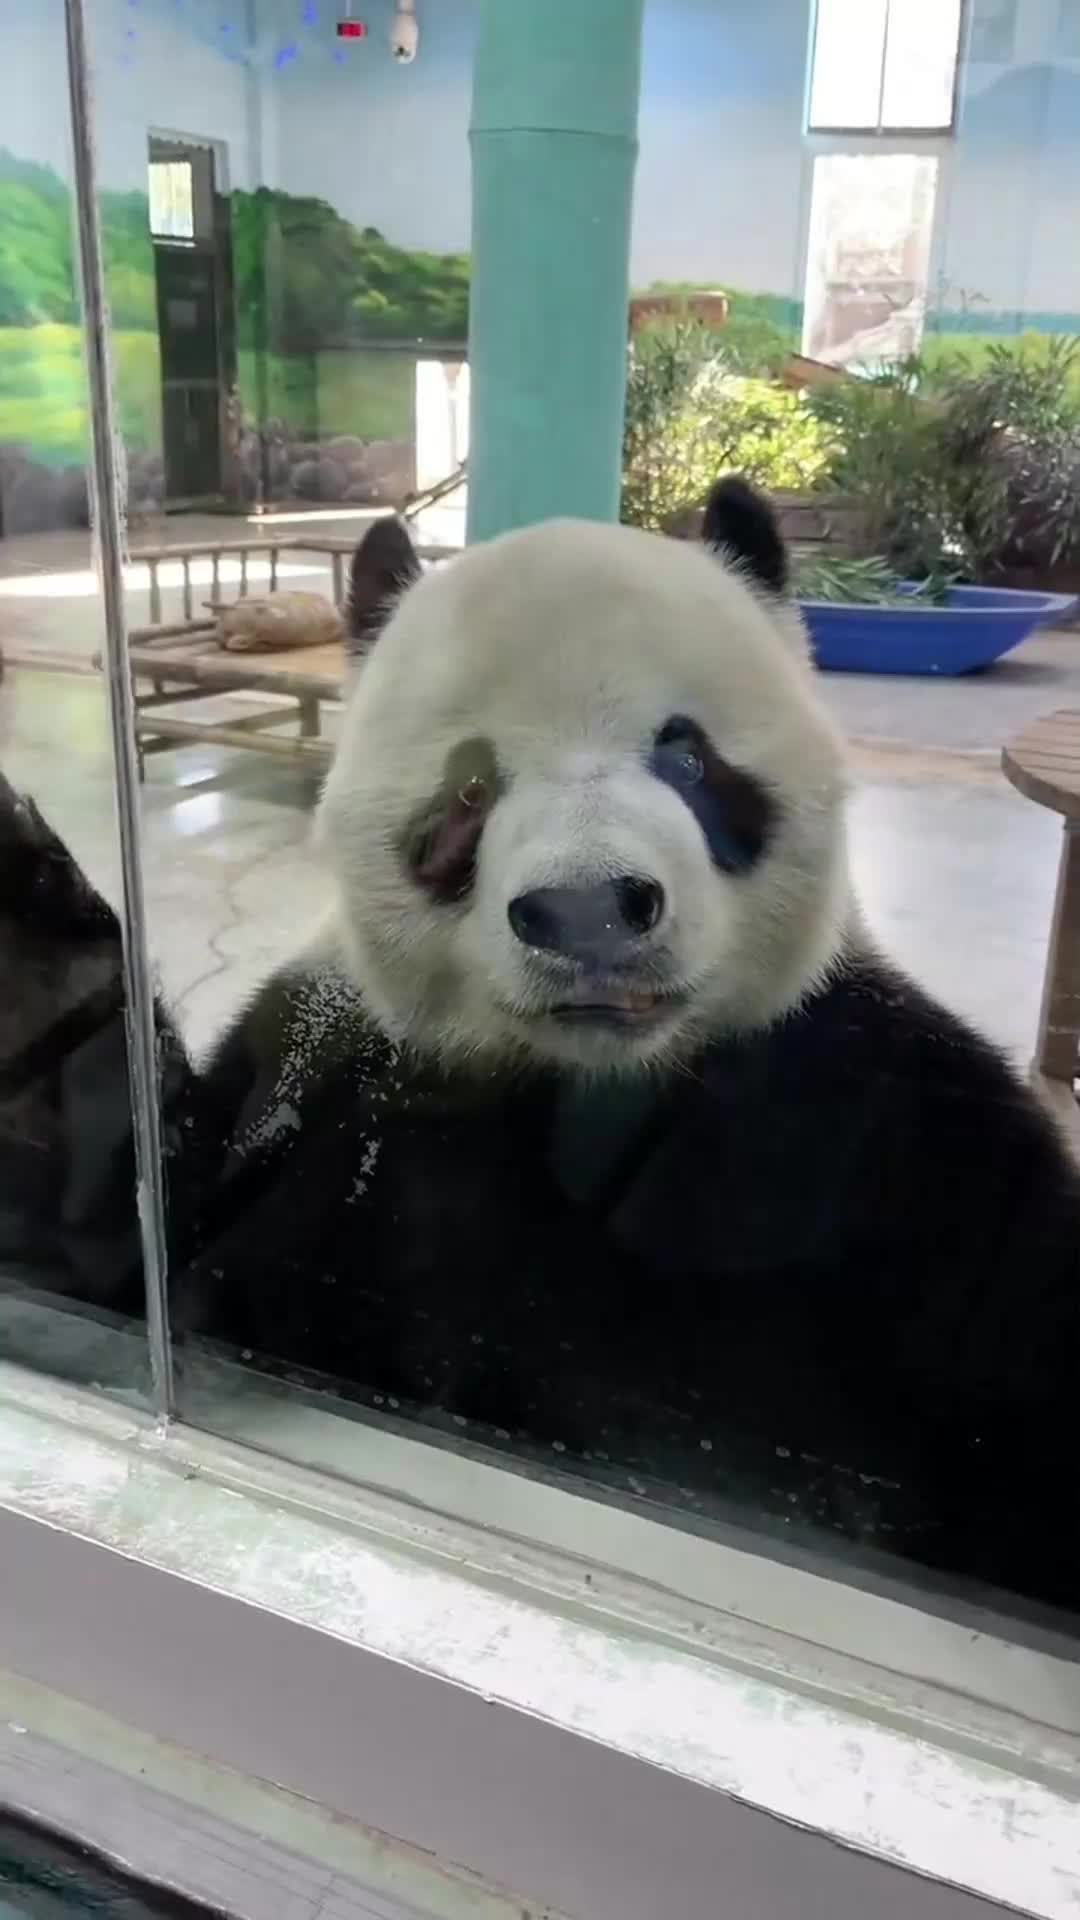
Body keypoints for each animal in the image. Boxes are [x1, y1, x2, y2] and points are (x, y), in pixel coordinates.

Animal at [2, 478, 1079, 1611]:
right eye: (472, 787)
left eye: (686, 753)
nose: (589, 910)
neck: (591, 1083)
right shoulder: (329, 1076)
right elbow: (122, 1260)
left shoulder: (885, 1124)